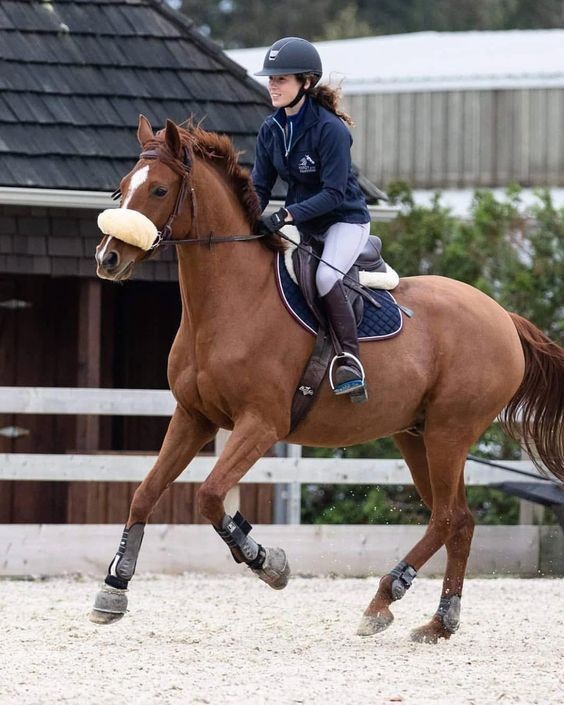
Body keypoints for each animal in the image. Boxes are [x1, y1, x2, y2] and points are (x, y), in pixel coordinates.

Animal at [90, 115, 564, 643]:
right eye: (120, 188)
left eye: (157, 189)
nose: (108, 259)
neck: (231, 302)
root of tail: (503, 316)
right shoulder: (194, 418)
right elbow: (145, 493)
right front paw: (114, 588)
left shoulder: (261, 425)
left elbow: (210, 497)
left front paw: (267, 563)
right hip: (416, 436)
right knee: (458, 519)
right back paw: (439, 621)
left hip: (449, 434)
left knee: (445, 517)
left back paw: (382, 600)